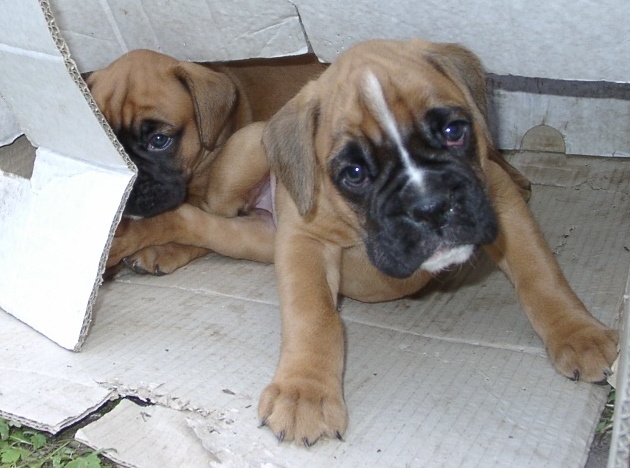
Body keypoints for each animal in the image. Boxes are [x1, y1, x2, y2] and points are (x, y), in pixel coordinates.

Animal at [256, 39, 619, 446]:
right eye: (355, 173)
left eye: (452, 130)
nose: (429, 206)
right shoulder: (304, 238)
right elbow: (312, 314)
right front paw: (304, 390)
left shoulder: (497, 200)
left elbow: (540, 273)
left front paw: (578, 333)